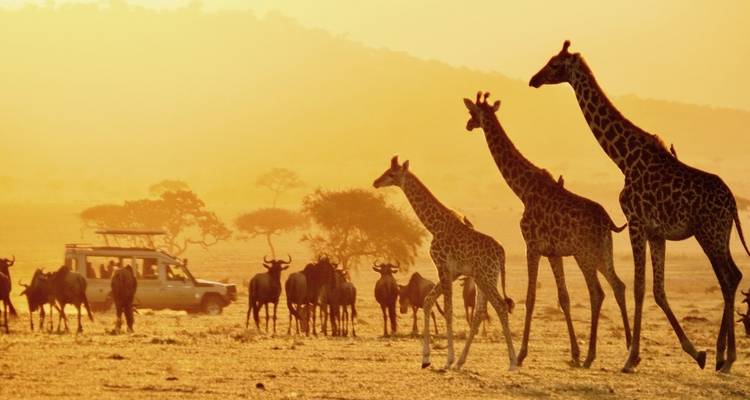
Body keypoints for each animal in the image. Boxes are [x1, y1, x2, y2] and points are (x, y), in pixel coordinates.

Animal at [373, 156, 517, 371]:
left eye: (391, 174)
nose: (376, 182)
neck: (434, 225)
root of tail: (502, 253)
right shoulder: (453, 272)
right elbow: (428, 301)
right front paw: (426, 359)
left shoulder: (443, 266)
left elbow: (448, 310)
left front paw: (447, 359)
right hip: (484, 279)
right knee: (480, 312)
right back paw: (461, 362)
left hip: (486, 277)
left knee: (500, 306)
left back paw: (513, 362)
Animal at [464, 91, 631, 368]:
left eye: (472, 113)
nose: (468, 125)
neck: (523, 190)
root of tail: (608, 222)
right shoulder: (554, 253)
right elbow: (564, 298)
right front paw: (573, 352)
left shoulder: (532, 246)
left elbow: (531, 298)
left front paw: (522, 354)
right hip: (603, 253)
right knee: (619, 286)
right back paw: (629, 348)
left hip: (584, 255)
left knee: (597, 293)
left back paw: (592, 356)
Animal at [530, 40, 749, 373]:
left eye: (554, 64)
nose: (534, 79)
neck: (624, 158)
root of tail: (734, 203)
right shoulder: (656, 232)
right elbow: (657, 288)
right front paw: (695, 352)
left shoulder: (635, 221)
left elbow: (638, 286)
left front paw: (630, 358)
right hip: (719, 235)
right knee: (731, 277)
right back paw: (722, 356)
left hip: (709, 234)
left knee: (729, 277)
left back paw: (728, 357)